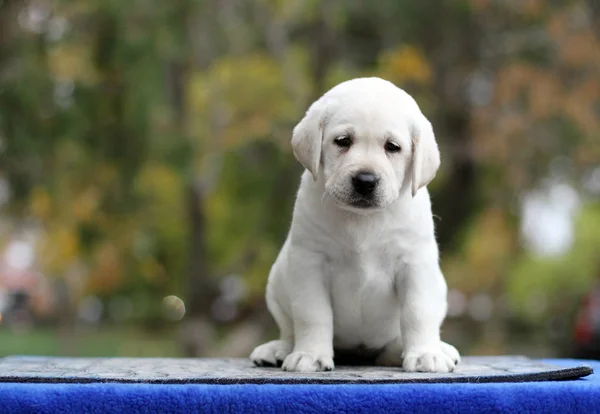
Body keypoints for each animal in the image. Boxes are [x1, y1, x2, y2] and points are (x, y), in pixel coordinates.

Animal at [248, 77, 460, 372]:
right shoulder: (309, 262)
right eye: (343, 141)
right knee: (289, 329)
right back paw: (279, 349)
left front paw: (425, 354)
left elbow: (418, 312)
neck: (362, 220)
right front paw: (310, 354)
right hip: (278, 279)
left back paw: (432, 349)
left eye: (392, 147)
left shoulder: (414, 263)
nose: (365, 180)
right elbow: (312, 314)